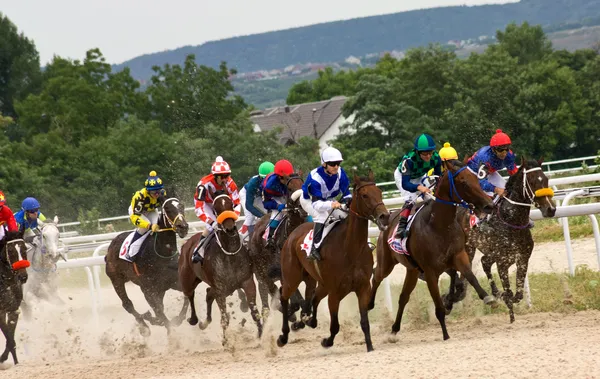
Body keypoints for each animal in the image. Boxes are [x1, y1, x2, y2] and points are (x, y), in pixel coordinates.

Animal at [104, 197, 190, 336]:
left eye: (182, 206)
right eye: (168, 209)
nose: (183, 227)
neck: (162, 254)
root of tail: (111, 246)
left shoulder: (172, 282)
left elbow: (184, 297)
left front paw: (177, 319)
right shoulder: (147, 289)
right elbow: (159, 312)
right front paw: (171, 334)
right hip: (116, 279)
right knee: (127, 304)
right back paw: (144, 327)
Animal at [178, 189, 262, 346]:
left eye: (230, 204)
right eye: (216, 209)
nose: (229, 228)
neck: (230, 253)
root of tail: (187, 244)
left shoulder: (247, 282)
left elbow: (254, 312)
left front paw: (261, 336)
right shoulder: (220, 289)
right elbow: (224, 319)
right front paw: (226, 341)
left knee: (208, 293)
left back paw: (204, 322)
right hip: (187, 280)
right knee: (190, 295)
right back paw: (194, 320)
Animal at [276, 172, 390, 354]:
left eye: (379, 192)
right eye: (365, 195)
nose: (384, 216)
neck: (350, 249)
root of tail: (292, 234)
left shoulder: (363, 287)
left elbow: (364, 321)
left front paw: (370, 346)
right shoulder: (335, 292)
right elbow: (335, 326)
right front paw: (327, 341)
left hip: (316, 281)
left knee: (312, 298)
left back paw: (306, 320)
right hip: (292, 277)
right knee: (284, 296)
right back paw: (284, 336)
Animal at [370, 160, 496, 342]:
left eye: (477, 179)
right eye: (464, 183)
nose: (489, 205)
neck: (440, 225)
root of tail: (388, 221)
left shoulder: (458, 256)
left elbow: (470, 277)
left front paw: (488, 297)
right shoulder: (430, 272)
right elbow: (439, 305)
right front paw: (445, 334)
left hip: (412, 270)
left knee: (403, 297)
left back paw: (394, 330)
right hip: (386, 262)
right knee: (376, 276)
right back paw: (369, 304)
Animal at [448, 158, 556, 324]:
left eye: (545, 179)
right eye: (531, 181)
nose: (550, 209)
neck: (511, 220)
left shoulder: (522, 259)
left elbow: (518, 294)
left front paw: (508, 305)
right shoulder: (502, 263)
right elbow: (509, 292)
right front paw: (510, 313)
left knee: (484, 262)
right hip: (468, 249)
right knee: (468, 270)